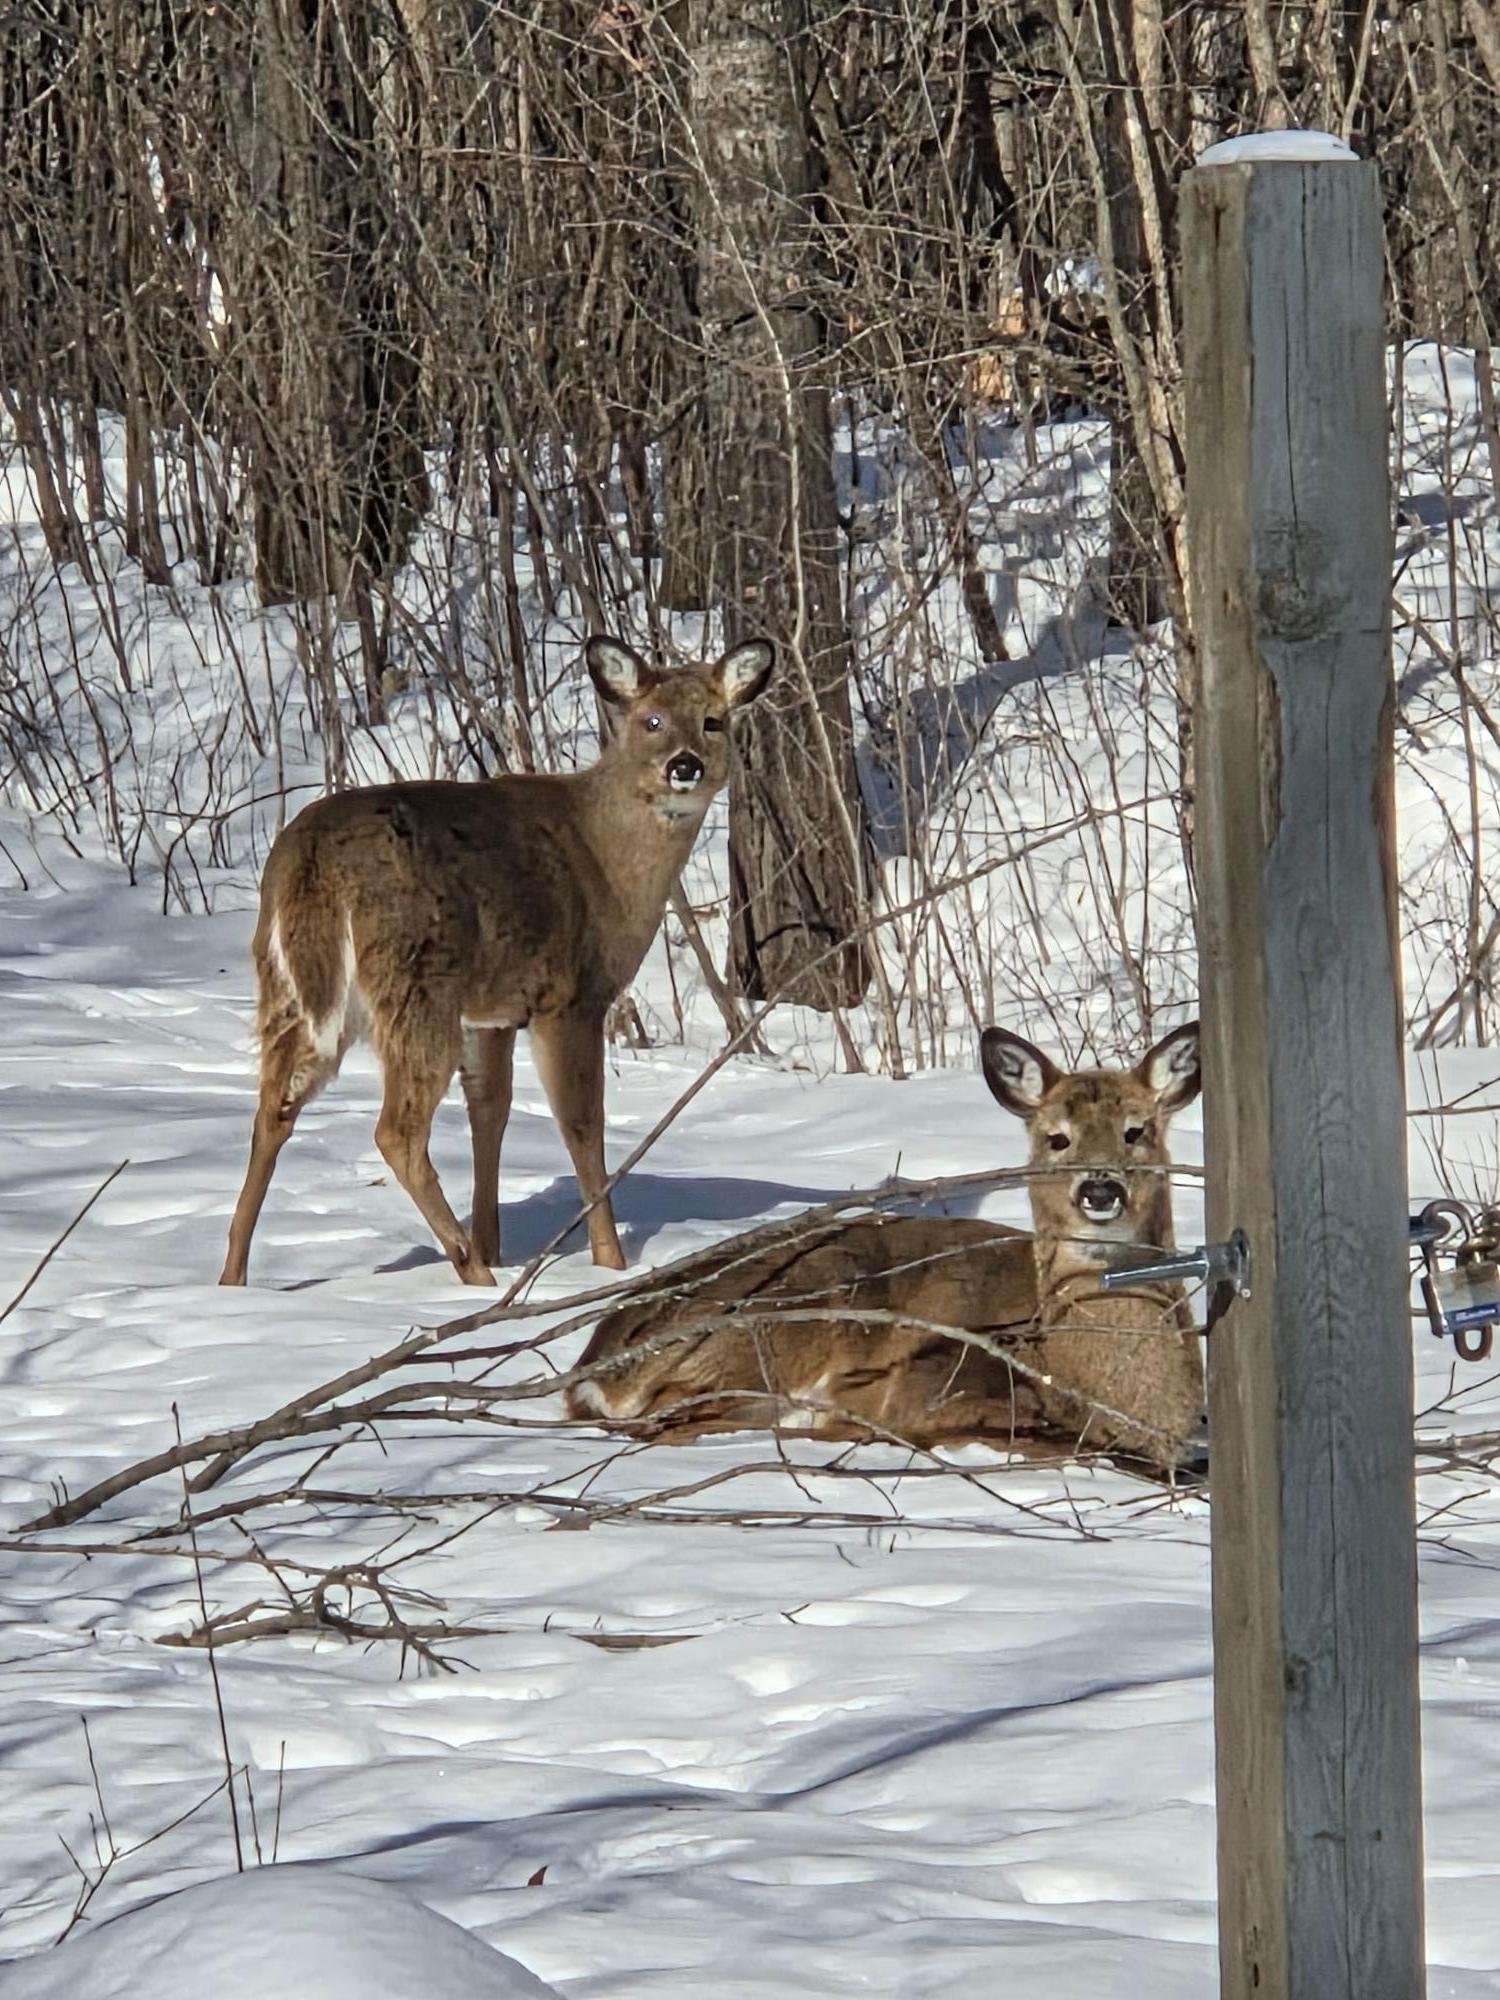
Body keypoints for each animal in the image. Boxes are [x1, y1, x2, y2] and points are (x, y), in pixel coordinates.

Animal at [219, 633, 775, 1289]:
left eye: (713, 721)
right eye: (652, 720)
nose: (684, 765)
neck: (609, 866)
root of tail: (309, 860)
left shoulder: (492, 1012)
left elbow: (491, 1111)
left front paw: (495, 1243)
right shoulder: (571, 996)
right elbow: (582, 1124)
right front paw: (607, 1263)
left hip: (292, 986)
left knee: (272, 1109)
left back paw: (233, 1279)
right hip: (415, 984)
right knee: (395, 1130)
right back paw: (471, 1273)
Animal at [566, 1021, 1206, 1475]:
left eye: (1137, 1131)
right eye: (1057, 1139)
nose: (1100, 1189)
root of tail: (597, 1364)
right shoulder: (935, 1384)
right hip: (788, 1313)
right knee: (675, 1415)